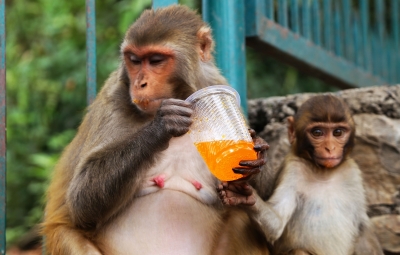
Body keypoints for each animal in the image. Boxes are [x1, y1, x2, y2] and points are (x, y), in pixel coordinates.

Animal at [42, 4, 270, 255]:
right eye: (134, 60)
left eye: (156, 60)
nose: (139, 84)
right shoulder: (114, 96)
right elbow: (81, 201)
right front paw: (162, 126)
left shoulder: (216, 82)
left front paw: (255, 152)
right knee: (69, 233)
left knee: (241, 219)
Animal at [219, 95, 384, 255]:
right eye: (317, 133)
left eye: (338, 132)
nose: (330, 148)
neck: (323, 172)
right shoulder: (293, 169)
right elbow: (276, 225)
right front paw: (243, 196)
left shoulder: (352, 172)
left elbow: (362, 226)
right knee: (300, 251)